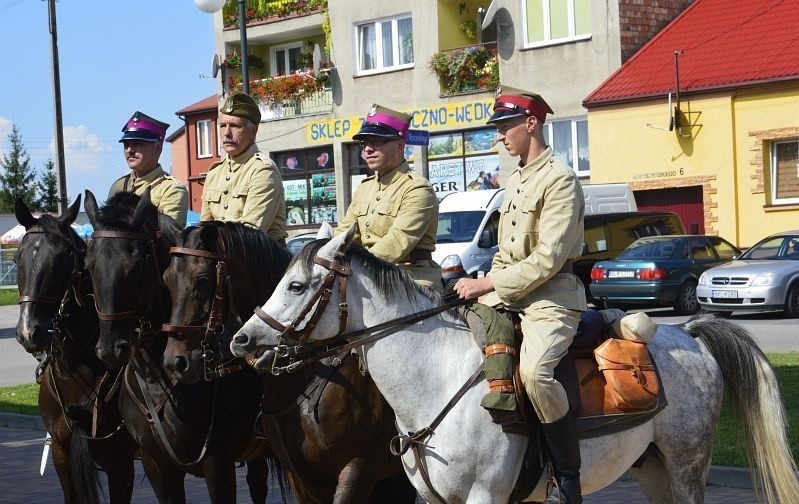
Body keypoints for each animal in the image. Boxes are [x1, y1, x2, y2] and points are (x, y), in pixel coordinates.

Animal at [81, 189, 276, 504]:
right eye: (89, 267)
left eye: (136, 264)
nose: (110, 349)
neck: (158, 378)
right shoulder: (157, 465)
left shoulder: (218, 464)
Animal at [230, 228, 799, 504]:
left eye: (296, 285)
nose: (242, 341)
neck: (434, 382)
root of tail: (690, 334)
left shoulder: (483, 496)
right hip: (653, 466)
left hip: (685, 465)